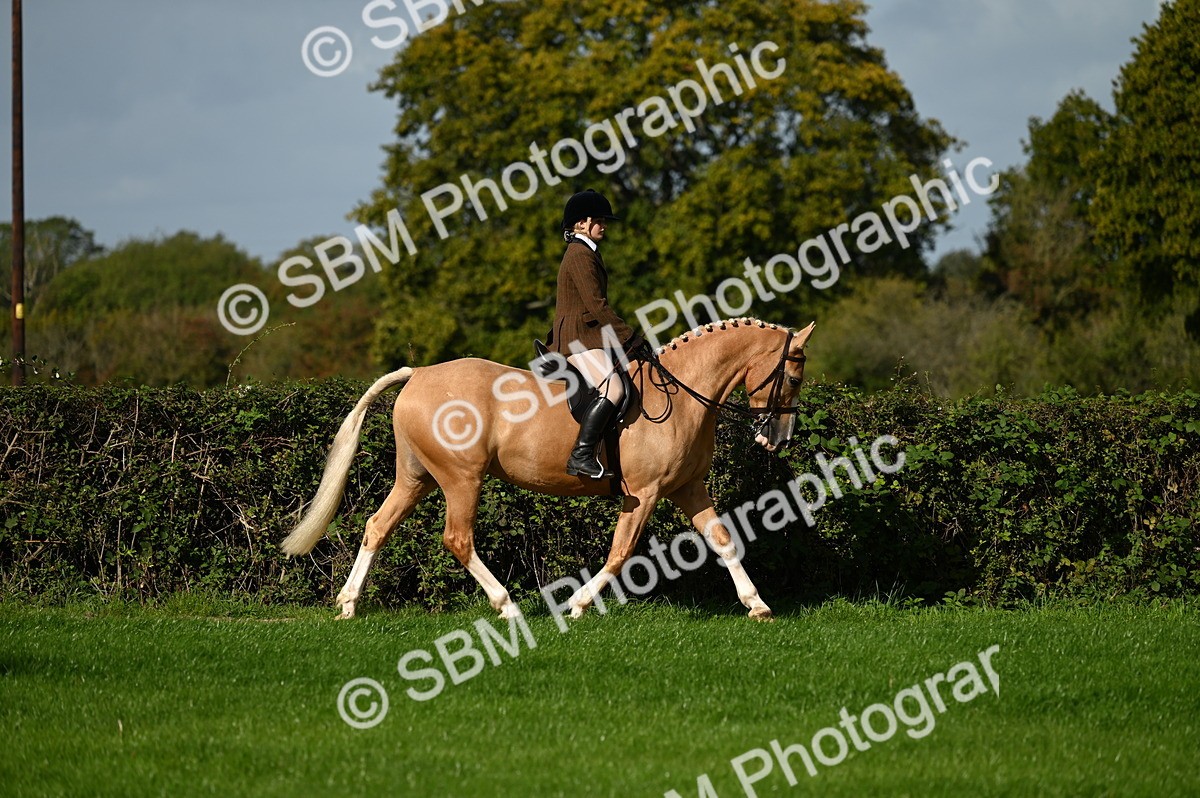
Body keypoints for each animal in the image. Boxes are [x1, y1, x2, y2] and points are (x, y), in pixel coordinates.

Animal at [281, 317, 815, 622]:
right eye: (792, 376)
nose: (779, 438)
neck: (684, 394)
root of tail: (420, 374)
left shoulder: (688, 488)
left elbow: (724, 540)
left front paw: (757, 604)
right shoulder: (643, 493)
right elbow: (621, 553)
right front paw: (578, 605)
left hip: (418, 478)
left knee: (378, 526)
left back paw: (349, 605)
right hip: (461, 479)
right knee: (458, 539)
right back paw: (508, 606)